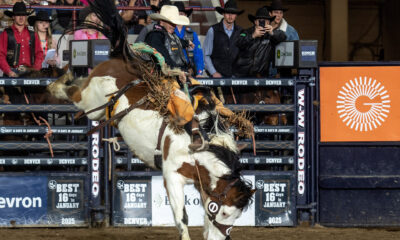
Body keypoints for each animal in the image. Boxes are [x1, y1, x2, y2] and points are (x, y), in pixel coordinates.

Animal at [47, 0, 253, 239]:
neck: (197, 148)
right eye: (226, 213)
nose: (223, 235)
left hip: (98, 111)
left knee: (78, 86)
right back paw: (57, 82)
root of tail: (121, 59)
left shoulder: (201, 182)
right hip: (91, 102)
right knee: (74, 93)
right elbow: (182, 217)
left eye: (236, 217)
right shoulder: (172, 177)